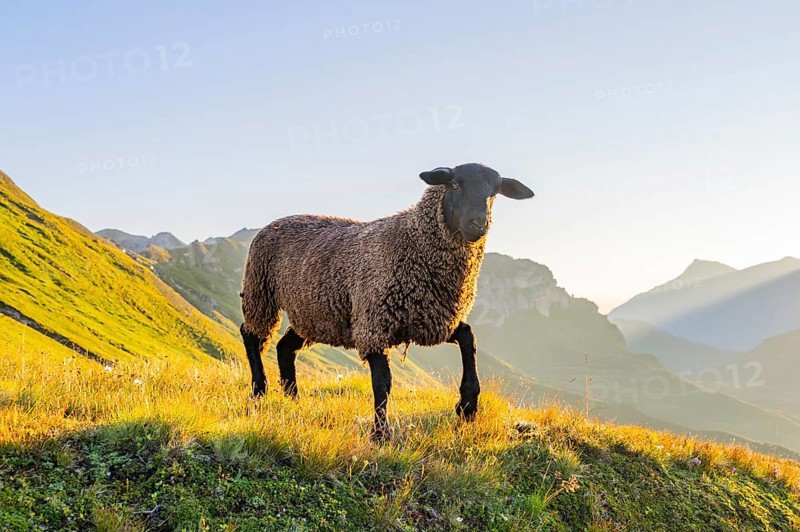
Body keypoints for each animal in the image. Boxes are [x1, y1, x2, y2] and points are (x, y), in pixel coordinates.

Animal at [240, 163, 534, 440]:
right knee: (250, 334)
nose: (478, 224)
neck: (414, 241)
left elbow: (468, 337)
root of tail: (273, 223)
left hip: (313, 313)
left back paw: (293, 398)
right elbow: (382, 383)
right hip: (260, 291)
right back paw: (259, 391)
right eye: (454, 184)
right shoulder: (374, 324)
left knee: (284, 346)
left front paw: (468, 405)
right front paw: (380, 434)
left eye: (494, 192)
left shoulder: (431, 319)